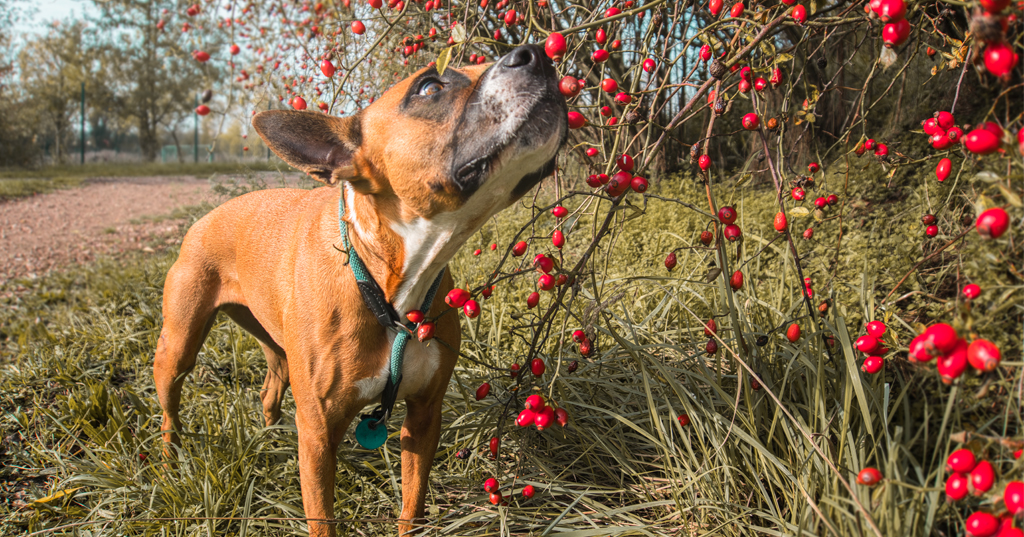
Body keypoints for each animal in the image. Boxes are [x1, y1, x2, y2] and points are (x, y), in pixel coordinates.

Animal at [152, 45, 569, 532]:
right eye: (430, 87)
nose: (535, 52)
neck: (387, 283)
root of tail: (206, 217)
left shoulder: (424, 416)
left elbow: (412, 505)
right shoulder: (318, 435)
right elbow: (322, 519)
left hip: (269, 339)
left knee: (272, 381)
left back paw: (269, 434)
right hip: (179, 345)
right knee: (170, 407)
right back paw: (169, 460)